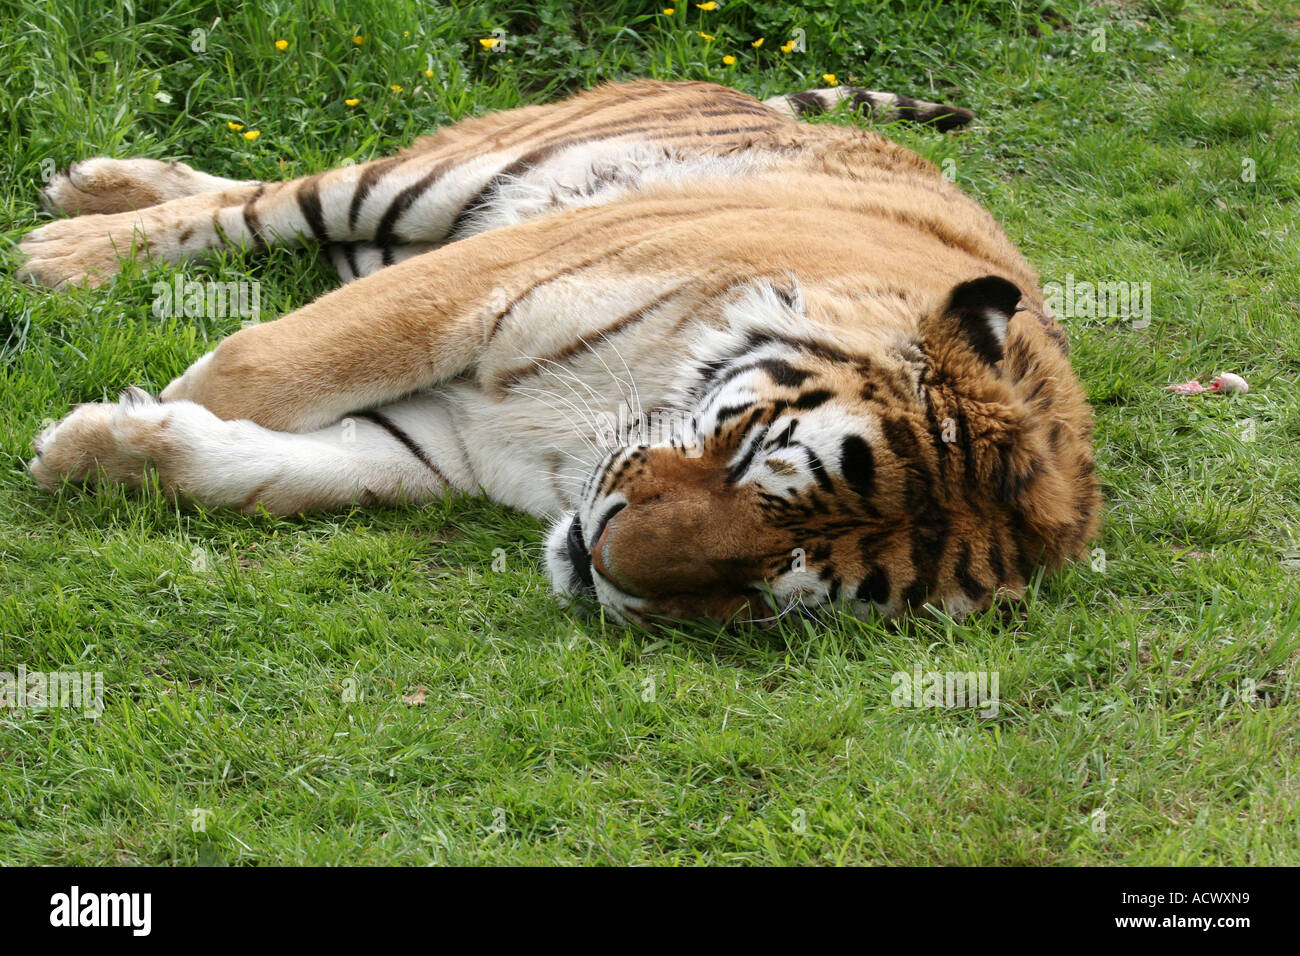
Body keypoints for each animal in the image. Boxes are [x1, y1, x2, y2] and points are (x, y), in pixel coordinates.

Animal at [17, 76, 1097, 629]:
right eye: (756, 458)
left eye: (779, 584)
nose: (601, 563)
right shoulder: (487, 275)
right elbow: (256, 370)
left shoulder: (440, 442)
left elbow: (270, 468)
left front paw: (94, 448)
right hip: (435, 181)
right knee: (259, 200)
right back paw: (67, 240)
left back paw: (88, 186)